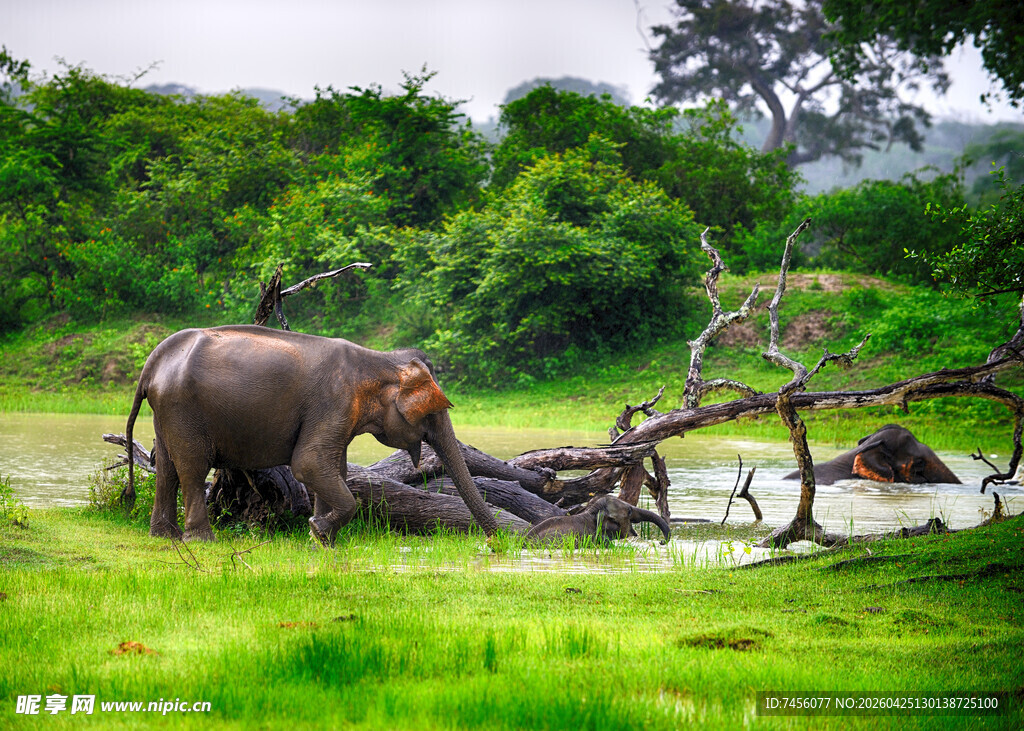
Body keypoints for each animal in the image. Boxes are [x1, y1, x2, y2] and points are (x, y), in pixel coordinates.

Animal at [124, 325, 500, 543]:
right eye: (432, 414)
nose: (495, 545)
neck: (378, 360)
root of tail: (152, 363)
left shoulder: (340, 414)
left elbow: (333, 469)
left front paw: (320, 537)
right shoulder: (333, 402)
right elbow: (309, 464)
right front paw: (319, 531)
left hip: (167, 411)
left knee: (166, 467)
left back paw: (164, 536)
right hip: (183, 408)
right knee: (191, 467)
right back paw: (201, 540)